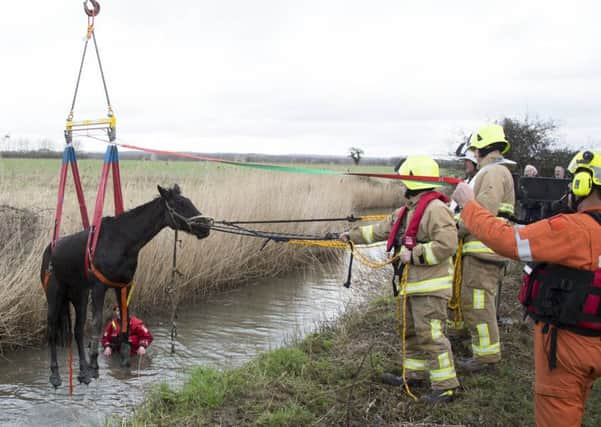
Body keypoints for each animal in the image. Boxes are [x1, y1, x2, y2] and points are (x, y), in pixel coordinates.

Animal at [39, 184, 213, 388]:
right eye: (179, 204)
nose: (206, 227)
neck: (122, 241)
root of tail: (49, 250)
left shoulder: (123, 285)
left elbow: (125, 320)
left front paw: (124, 360)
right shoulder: (99, 288)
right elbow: (98, 324)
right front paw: (95, 366)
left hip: (78, 296)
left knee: (78, 330)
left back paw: (83, 372)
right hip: (55, 296)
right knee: (52, 331)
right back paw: (55, 375)